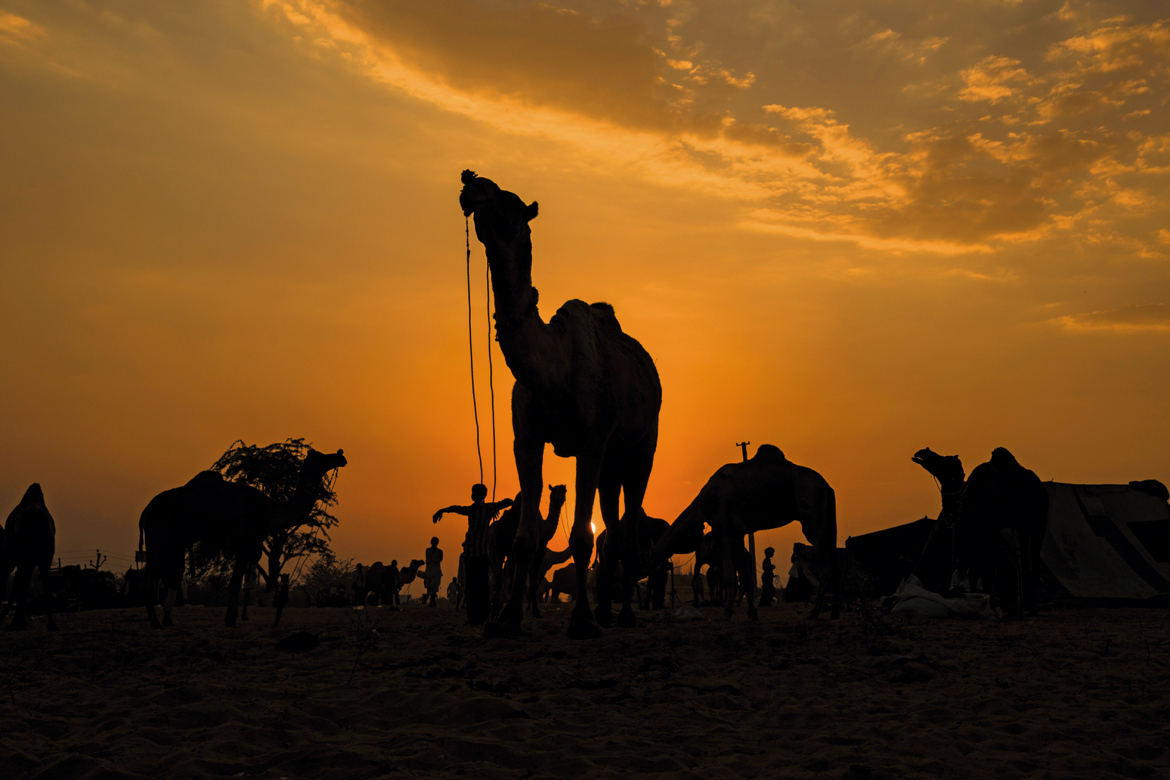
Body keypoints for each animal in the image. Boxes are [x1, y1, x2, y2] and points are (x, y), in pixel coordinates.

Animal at [0, 484, 58, 631]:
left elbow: (21, 581)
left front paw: (17, 622)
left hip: (26, 551)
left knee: (24, 579)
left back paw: (18, 623)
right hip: (46, 551)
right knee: (44, 580)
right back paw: (52, 624)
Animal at [139, 444, 343, 626]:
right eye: (323, 457)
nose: (340, 456)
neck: (272, 510)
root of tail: (145, 511)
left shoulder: (248, 547)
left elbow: (239, 583)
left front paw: (233, 617)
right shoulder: (246, 544)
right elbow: (235, 583)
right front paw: (230, 620)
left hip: (176, 541)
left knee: (172, 573)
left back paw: (166, 620)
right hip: (157, 537)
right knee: (151, 574)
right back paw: (155, 622)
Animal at [460, 168, 664, 636]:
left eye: (509, 200)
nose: (470, 181)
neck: (556, 371)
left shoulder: (592, 438)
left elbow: (581, 537)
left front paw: (582, 623)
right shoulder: (526, 438)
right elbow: (524, 538)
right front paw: (505, 620)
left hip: (641, 449)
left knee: (627, 529)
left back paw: (622, 616)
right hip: (611, 464)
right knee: (612, 529)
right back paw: (606, 611)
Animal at [650, 444, 842, 622]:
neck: (703, 502)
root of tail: (827, 486)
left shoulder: (722, 528)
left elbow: (729, 576)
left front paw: (727, 613)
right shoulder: (738, 532)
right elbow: (744, 575)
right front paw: (752, 613)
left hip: (812, 514)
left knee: (825, 563)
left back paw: (814, 613)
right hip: (828, 520)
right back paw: (834, 613)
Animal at [907, 449, 1048, 617]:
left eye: (945, 460)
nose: (923, 452)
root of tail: (1039, 484)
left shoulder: (992, 531)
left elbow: (990, 571)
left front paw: (993, 606)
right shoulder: (976, 534)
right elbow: (974, 574)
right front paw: (978, 600)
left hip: (1038, 522)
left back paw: (1033, 609)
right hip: (1021, 526)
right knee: (1024, 562)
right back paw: (1020, 609)